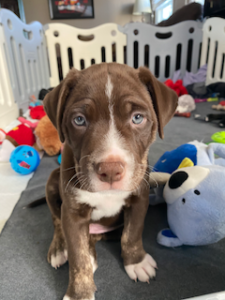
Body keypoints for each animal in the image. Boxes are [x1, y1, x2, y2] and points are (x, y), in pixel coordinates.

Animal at [43, 62, 178, 298]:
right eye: (79, 120)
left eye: (137, 118)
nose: (111, 170)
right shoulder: (72, 213)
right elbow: (77, 257)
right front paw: (79, 293)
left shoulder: (139, 199)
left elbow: (132, 233)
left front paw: (136, 262)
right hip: (52, 182)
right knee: (57, 221)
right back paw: (60, 248)